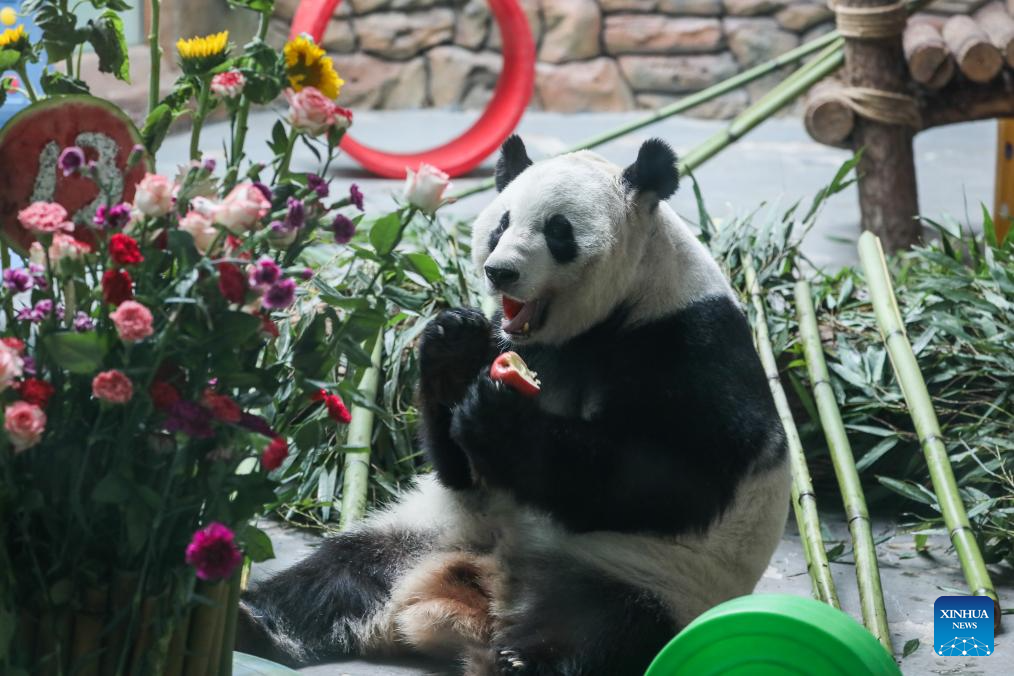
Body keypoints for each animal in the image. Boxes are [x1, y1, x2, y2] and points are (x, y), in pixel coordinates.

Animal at [237, 137, 790, 676]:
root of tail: (479, 595)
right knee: (340, 573)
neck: (612, 313)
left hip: (649, 577)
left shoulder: (686, 341)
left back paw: (522, 659)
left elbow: (676, 477)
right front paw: (454, 348)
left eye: (558, 231)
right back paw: (257, 620)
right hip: (423, 532)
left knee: (603, 633)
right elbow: (461, 470)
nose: (499, 271)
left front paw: (501, 421)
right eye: (501, 223)